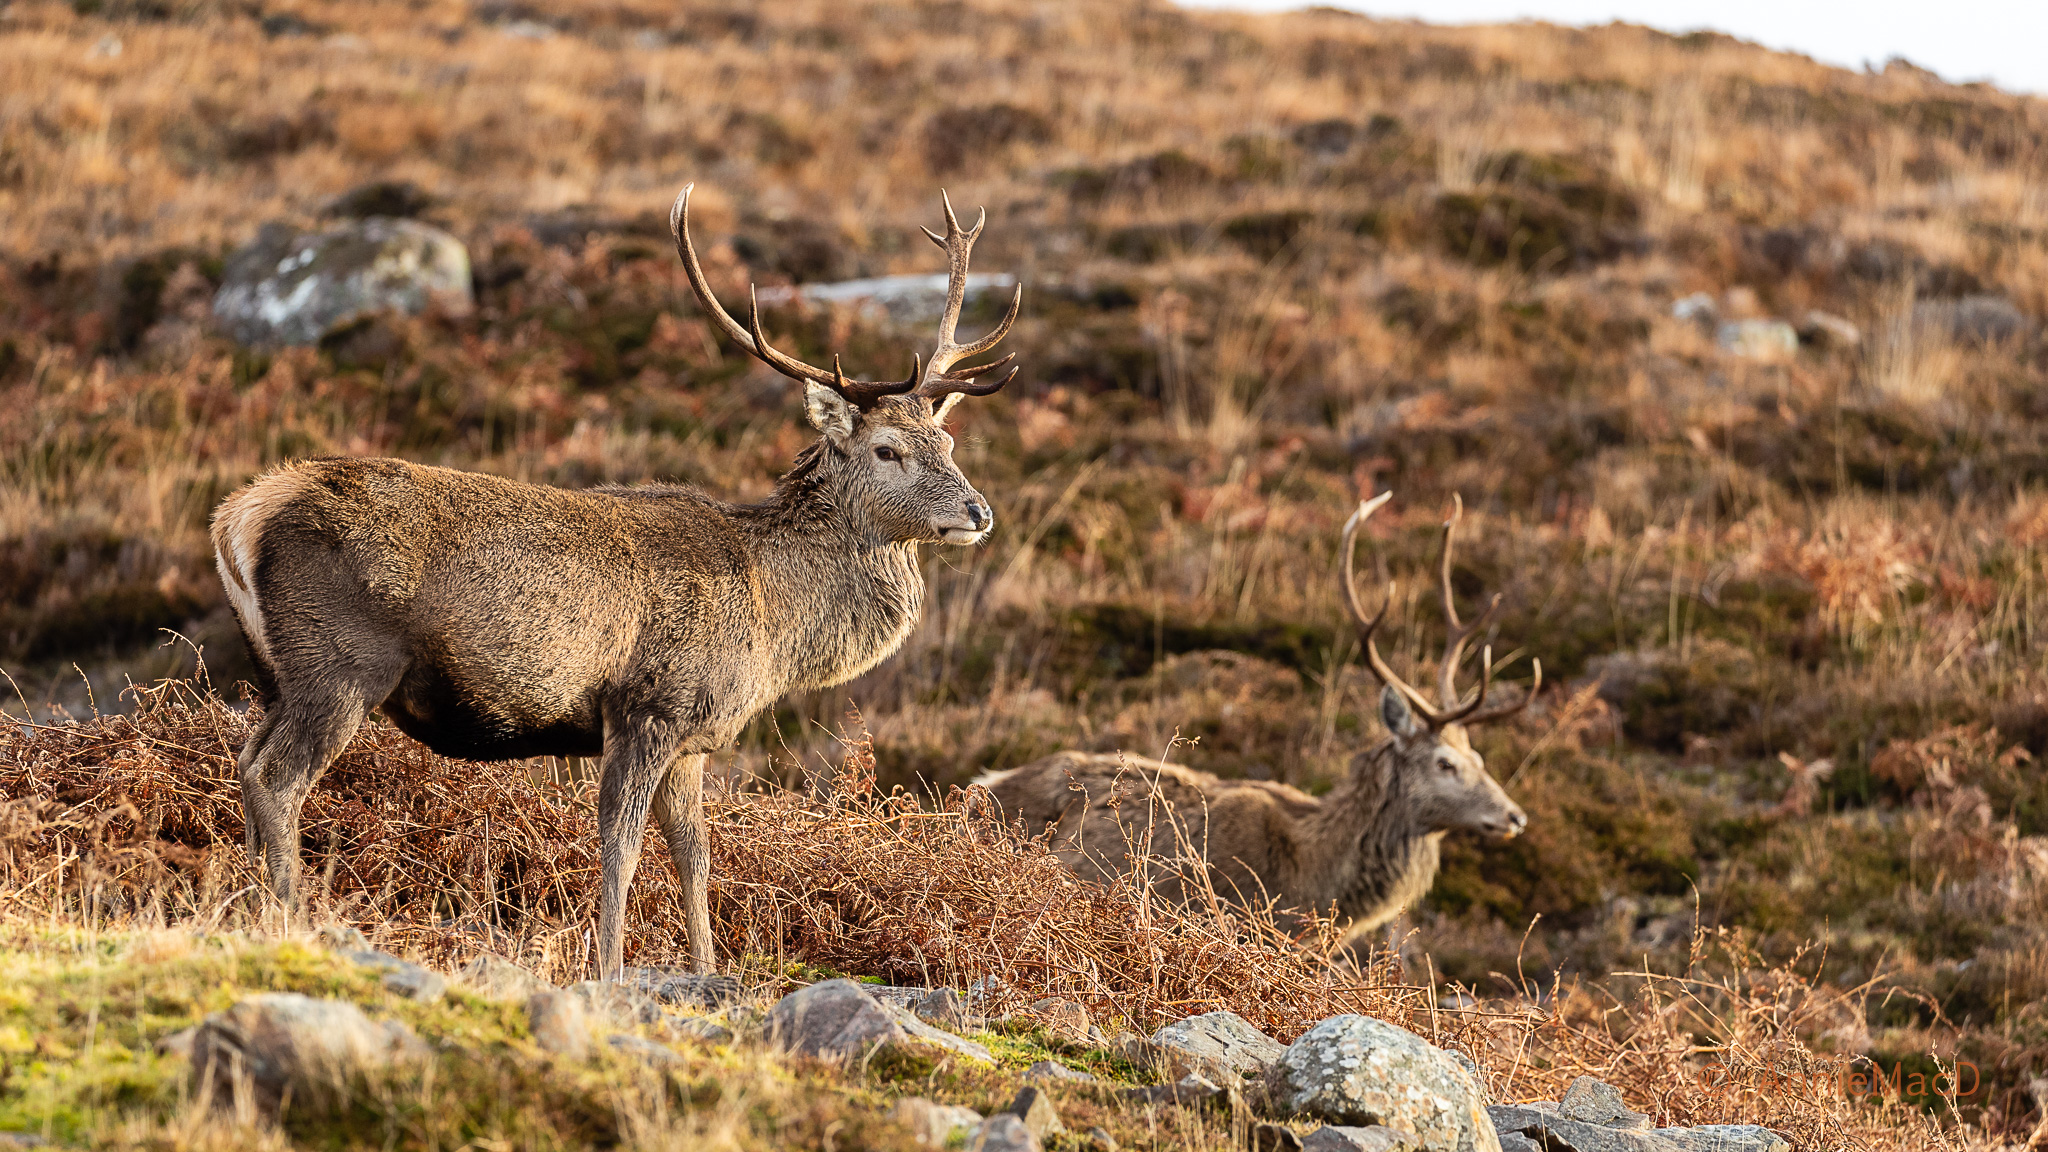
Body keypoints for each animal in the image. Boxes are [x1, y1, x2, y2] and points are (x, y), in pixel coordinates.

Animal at [209, 184, 1022, 977]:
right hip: (342, 660)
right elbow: (621, 844)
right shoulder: (648, 707)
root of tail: (239, 516)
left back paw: (246, 911)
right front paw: (608, 969)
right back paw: (289, 918)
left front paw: (708, 971)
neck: (773, 627)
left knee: (246, 762)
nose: (979, 511)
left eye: (948, 439)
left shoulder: (695, 739)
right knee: (277, 778)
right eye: (887, 450)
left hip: (278, 672)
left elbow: (695, 853)